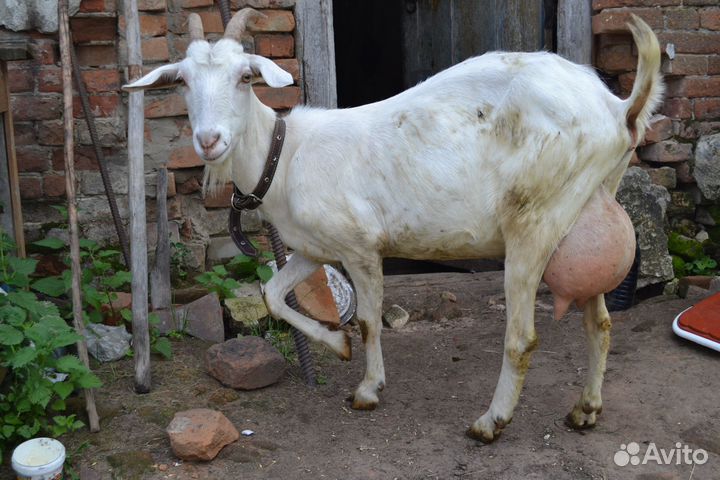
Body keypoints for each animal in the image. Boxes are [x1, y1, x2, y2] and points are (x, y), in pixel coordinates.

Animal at [124, 10, 663, 442]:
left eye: (244, 77)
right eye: (182, 81)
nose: (209, 140)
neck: (286, 155)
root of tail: (619, 109)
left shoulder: (360, 246)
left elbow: (366, 319)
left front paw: (367, 388)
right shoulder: (314, 248)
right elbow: (273, 295)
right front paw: (335, 345)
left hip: (535, 221)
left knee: (523, 337)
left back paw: (491, 422)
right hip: (587, 208)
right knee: (600, 321)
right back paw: (585, 410)